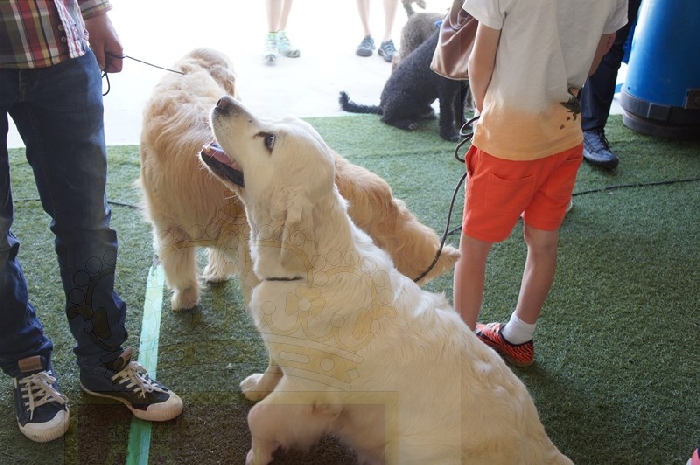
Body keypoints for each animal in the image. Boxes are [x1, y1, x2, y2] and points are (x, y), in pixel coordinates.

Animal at [138, 48, 460, 311]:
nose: (224, 101)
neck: (190, 73)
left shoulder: (168, 226)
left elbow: (180, 272)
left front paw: (184, 300)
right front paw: (215, 274)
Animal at [203, 95, 573, 464]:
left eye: (268, 140)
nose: (222, 101)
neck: (309, 271)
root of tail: (545, 448)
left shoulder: (307, 388)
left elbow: (260, 417)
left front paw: (257, 454)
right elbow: (273, 366)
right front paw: (259, 385)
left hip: (410, 448)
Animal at [340, 29, 469, 142]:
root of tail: (381, 105)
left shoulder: (462, 89)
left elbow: (460, 108)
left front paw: (463, 124)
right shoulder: (446, 91)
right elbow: (448, 113)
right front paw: (449, 134)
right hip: (403, 97)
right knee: (386, 118)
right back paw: (407, 124)